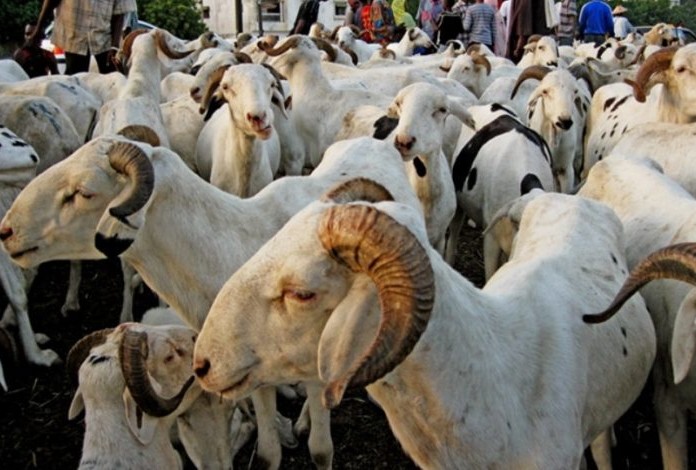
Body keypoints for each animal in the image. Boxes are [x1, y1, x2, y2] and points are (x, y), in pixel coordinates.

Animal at [0, 136, 422, 469]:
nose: (6, 231)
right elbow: (267, 453)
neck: (228, 248)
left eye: (84, 192)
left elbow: (320, 450)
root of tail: (377, 142)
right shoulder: (249, 374)